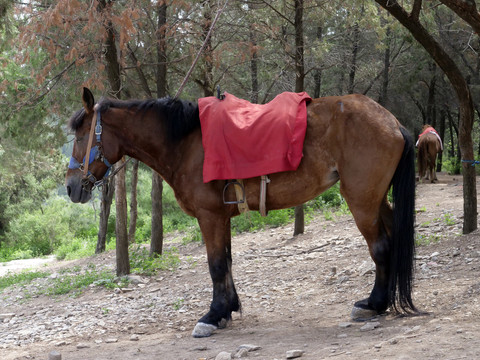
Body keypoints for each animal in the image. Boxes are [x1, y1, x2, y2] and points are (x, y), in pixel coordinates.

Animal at [65, 87, 418, 338]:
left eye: (81, 137)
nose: (70, 187)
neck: (185, 143)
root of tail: (391, 121)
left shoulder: (209, 217)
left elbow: (216, 265)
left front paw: (212, 315)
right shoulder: (222, 218)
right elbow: (227, 261)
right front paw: (228, 309)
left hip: (362, 201)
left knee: (381, 247)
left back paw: (374, 304)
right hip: (377, 200)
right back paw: (380, 302)